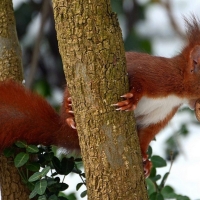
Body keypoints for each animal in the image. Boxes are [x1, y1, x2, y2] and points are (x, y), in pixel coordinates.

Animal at [0, 16, 200, 177]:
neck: (178, 91)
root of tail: (63, 132)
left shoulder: (162, 114)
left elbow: (146, 134)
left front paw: (145, 159)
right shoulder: (159, 76)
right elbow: (137, 78)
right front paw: (131, 99)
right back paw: (70, 112)